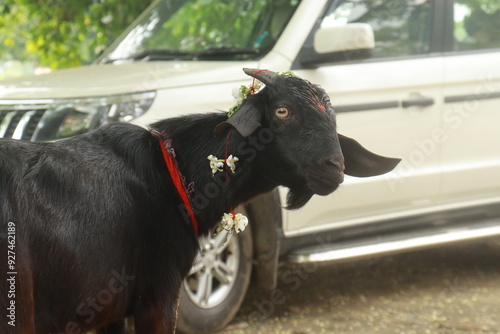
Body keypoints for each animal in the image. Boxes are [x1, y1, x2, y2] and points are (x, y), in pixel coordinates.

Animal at [0, 69, 398, 332]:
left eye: (334, 120)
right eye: (282, 110)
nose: (334, 167)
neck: (170, 172)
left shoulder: (110, 309)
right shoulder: (157, 294)